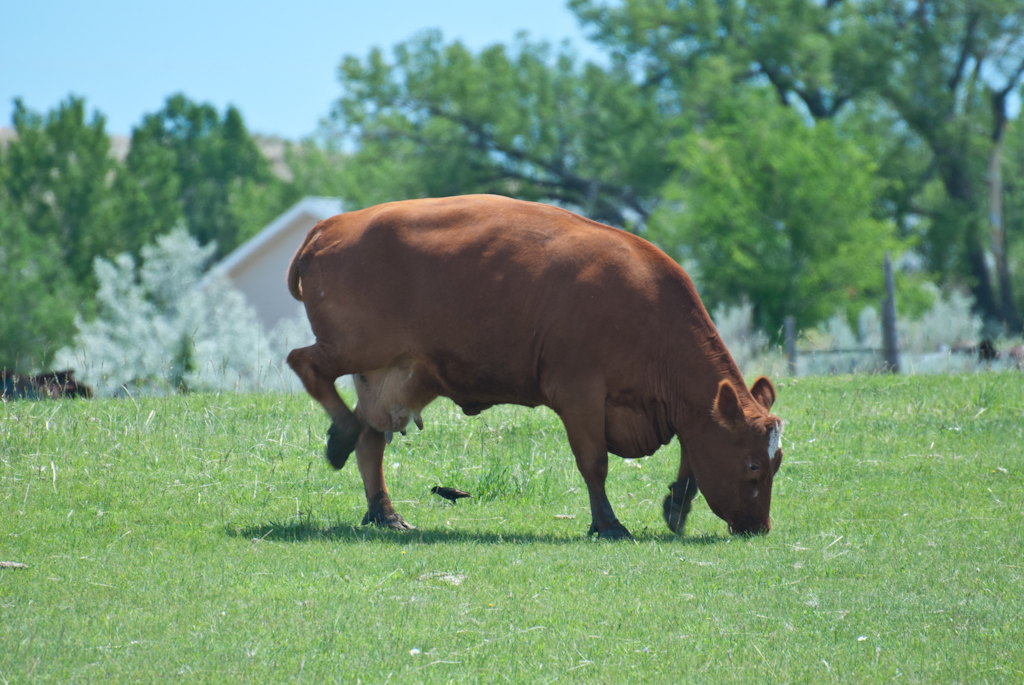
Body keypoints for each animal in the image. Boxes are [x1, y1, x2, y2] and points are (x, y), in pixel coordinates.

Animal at [288, 194, 782, 536]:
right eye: (753, 467)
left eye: (776, 464)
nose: (760, 528)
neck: (649, 313)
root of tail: (330, 225)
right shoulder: (580, 394)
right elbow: (594, 463)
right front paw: (608, 523)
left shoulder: (685, 414)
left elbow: (691, 456)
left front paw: (677, 503)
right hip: (354, 348)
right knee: (306, 366)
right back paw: (340, 437)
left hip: (395, 374)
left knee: (371, 439)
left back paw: (384, 512)